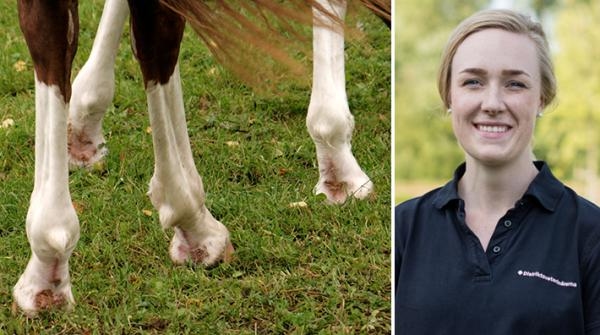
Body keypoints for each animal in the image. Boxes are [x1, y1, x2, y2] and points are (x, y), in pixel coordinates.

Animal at [11, 0, 392, 318]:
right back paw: (193, 221)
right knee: (156, 41)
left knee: (52, 40)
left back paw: (47, 261)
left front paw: (86, 112)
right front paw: (339, 164)